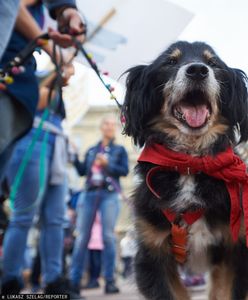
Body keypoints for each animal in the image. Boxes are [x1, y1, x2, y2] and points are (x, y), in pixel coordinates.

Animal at [122, 40, 248, 300]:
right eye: (170, 62)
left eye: (213, 63)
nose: (198, 70)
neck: (189, 163)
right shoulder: (153, 253)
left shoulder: (234, 251)